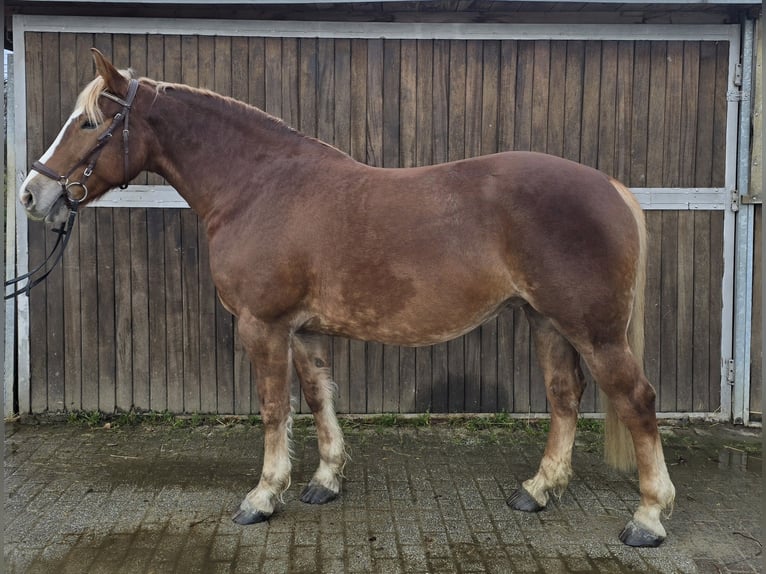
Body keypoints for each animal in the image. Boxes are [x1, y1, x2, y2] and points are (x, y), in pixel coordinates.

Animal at [18, 50, 676, 548]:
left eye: (87, 123)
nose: (31, 194)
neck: (258, 186)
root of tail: (610, 186)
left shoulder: (262, 325)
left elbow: (274, 409)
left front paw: (263, 496)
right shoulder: (301, 329)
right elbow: (317, 398)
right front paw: (323, 482)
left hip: (595, 331)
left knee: (637, 402)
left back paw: (647, 518)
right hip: (548, 322)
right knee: (564, 398)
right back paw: (537, 492)